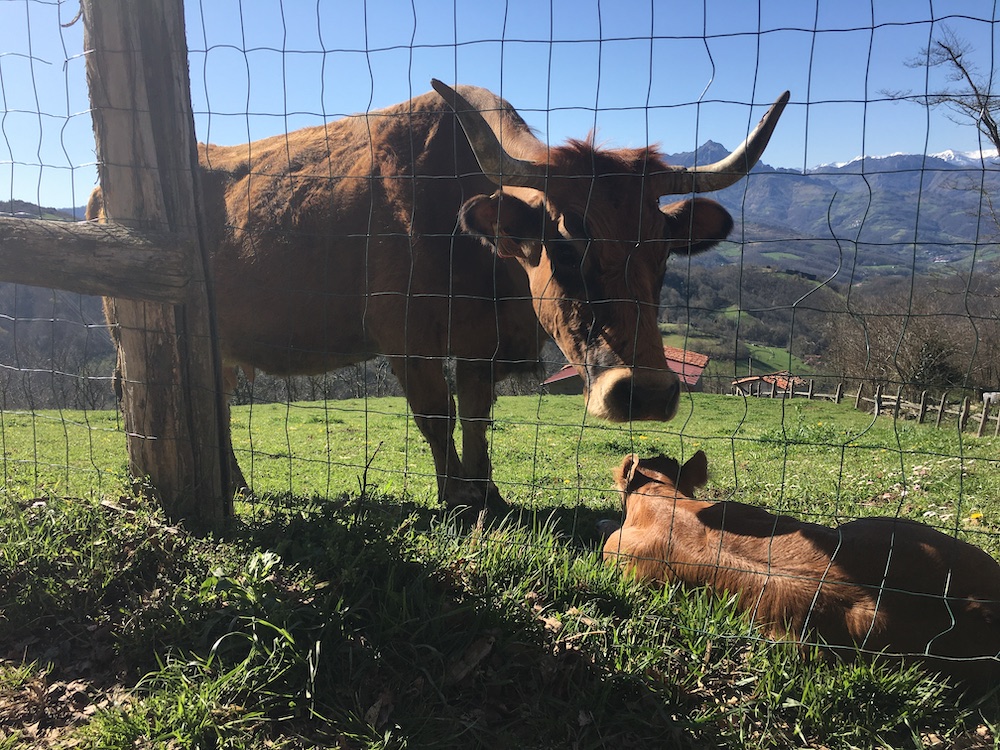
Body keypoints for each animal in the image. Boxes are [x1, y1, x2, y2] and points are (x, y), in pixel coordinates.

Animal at [90, 83, 784, 512]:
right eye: (565, 248)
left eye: (663, 254)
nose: (644, 392)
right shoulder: (405, 338)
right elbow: (436, 415)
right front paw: (453, 498)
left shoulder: (480, 343)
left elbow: (475, 415)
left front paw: (486, 494)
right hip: (134, 333)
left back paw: (234, 483)